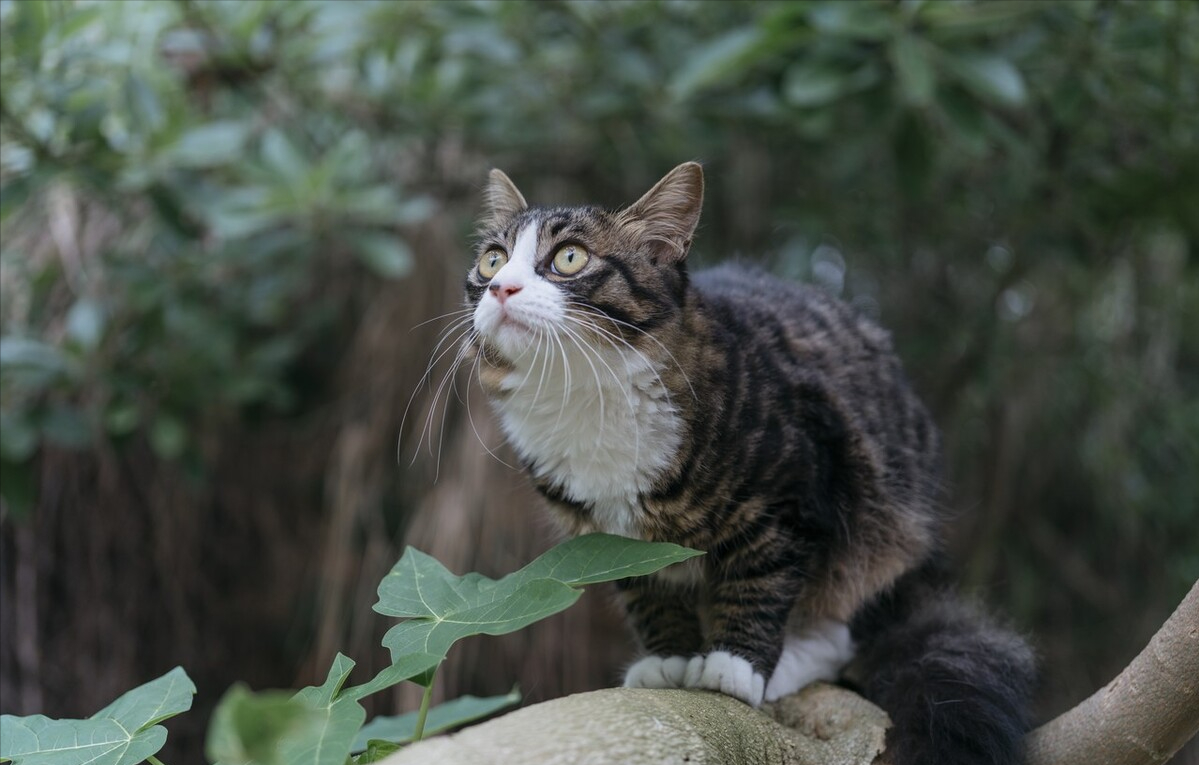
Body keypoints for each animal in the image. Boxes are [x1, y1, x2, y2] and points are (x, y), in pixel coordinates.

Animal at [453, 165, 1035, 762]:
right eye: (492, 260)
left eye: (570, 258)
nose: (501, 288)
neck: (583, 395)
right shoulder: (610, 541)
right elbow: (648, 594)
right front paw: (669, 657)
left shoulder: (793, 495)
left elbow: (761, 580)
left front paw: (736, 664)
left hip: (885, 521)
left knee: (844, 626)